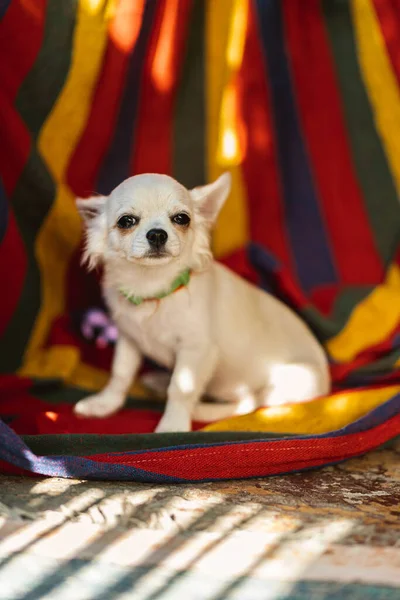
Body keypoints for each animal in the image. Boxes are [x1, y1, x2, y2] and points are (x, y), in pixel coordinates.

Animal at [73, 172, 330, 432]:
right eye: (126, 221)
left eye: (181, 218)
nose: (157, 233)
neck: (154, 289)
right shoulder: (129, 337)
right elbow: (121, 374)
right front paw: (106, 403)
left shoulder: (196, 350)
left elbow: (180, 388)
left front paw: (173, 424)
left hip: (290, 384)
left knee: (249, 404)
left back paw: (203, 410)